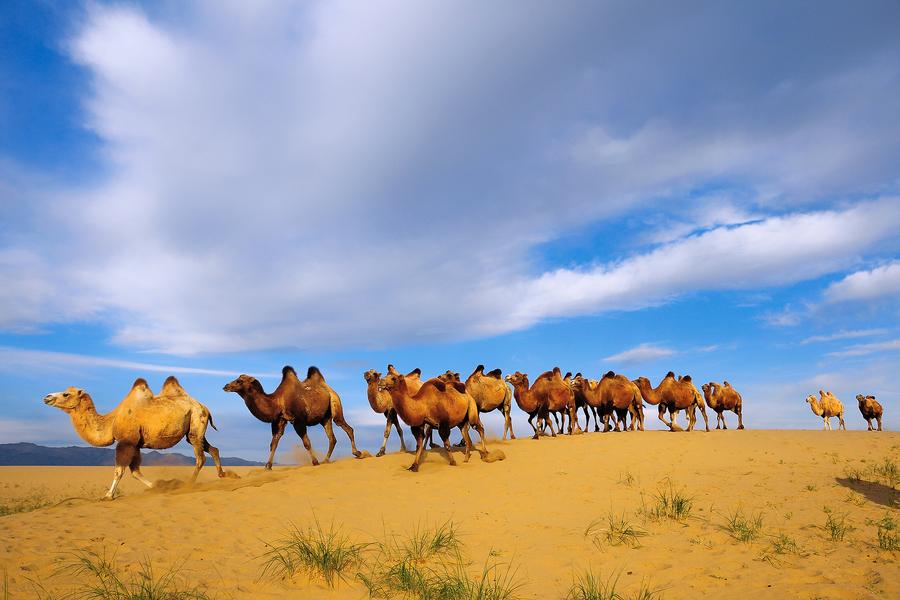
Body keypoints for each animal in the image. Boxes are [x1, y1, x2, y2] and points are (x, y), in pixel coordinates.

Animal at [45, 378, 229, 500]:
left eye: (66, 394)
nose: (46, 397)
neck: (111, 421)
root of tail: (205, 407)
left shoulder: (126, 442)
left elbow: (120, 470)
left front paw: (108, 495)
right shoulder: (136, 444)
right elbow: (135, 471)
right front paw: (157, 487)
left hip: (196, 421)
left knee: (200, 458)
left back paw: (188, 485)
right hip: (194, 431)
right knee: (212, 448)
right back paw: (222, 474)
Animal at [223, 366, 360, 468]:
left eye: (239, 381)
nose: (226, 386)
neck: (277, 402)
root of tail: (328, 387)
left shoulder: (298, 420)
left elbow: (306, 442)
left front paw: (315, 462)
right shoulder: (280, 420)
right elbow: (274, 443)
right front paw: (268, 466)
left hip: (335, 404)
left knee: (346, 427)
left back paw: (357, 453)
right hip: (324, 418)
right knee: (332, 438)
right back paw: (326, 460)